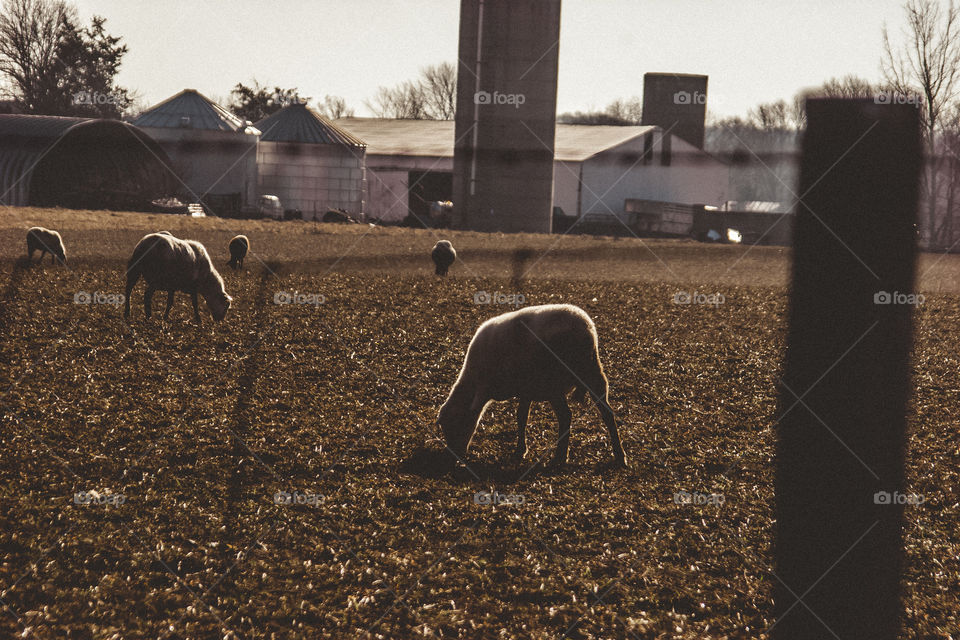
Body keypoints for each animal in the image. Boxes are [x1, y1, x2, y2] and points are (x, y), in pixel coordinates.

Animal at [437, 304, 627, 468]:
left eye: (458, 423)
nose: (454, 458)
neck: (474, 381)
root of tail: (584, 328)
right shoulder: (525, 389)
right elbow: (521, 417)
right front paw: (521, 450)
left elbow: (521, 417)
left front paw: (521, 450)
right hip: (593, 374)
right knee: (607, 413)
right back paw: (620, 456)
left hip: (554, 383)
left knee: (565, 416)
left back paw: (560, 457)